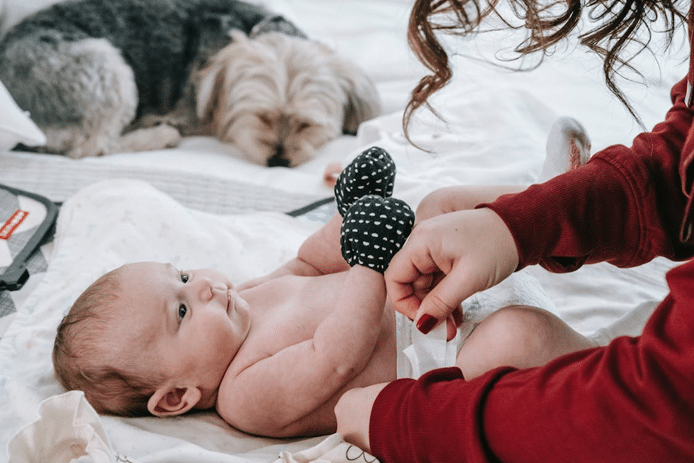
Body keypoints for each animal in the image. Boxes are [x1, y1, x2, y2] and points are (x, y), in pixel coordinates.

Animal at [0, 0, 308, 161]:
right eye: (261, 116)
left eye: (307, 124)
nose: (280, 159)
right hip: (105, 67)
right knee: (94, 148)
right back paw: (160, 135)